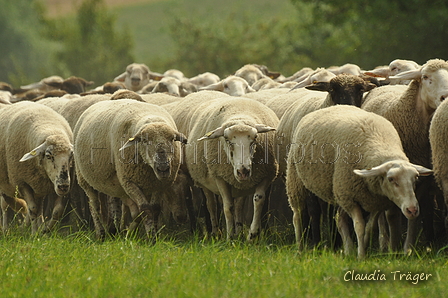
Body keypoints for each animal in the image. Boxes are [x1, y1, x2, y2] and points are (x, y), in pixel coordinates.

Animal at [0, 101, 73, 234]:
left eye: (71, 155)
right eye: (48, 156)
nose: (63, 186)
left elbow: (57, 210)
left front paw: (45, 230)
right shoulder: (22, 182)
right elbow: (32, 209)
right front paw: (34, 234)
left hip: (38, 186)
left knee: (39, 207)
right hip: (6, 184)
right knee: (5, 206)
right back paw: (5, 230)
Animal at [73, 99, 187, 239]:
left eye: (172, 139)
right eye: (144, 140)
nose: (163, 167)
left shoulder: (159, 185)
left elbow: (154, 209)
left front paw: (139, 234)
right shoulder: (128, 182)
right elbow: (144, 208)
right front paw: (151, 237)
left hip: (113, 183)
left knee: (115, 203)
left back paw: (115, 230)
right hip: (84, 179)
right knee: (94, 206)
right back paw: (101, 234)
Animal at [185, 96, 278, 241]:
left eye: (254, 139)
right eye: (227, 140)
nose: (243, 171)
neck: (240, 115)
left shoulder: (267, 175)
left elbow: (259, 200)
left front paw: (252, 235)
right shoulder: (220, 177)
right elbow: (228, 207)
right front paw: (230, 237)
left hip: (240, 187)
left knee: (239, 207)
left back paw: (239, 231)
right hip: (205, 184)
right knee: (211, 205)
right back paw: (216, 233)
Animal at [288, 105, 434, 258]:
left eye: (416, 178)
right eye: (391, 179)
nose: (412, 210)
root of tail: (328, 107)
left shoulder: (375, 201)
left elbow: (370, 226)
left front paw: (364, 247)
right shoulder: (350, 199)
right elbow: (359, 226)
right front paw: (361, 256)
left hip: (339, 192)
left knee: (339, 218)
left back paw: (348, 250)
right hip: (295, 179)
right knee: (297, 215)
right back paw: (299, 249)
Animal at [362, 58, 448, 251]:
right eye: (425, 77)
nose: (445, 96)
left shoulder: (422, 178)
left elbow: (416, 212)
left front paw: (408, 248)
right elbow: (391, 214)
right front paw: (392, 247)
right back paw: (383, 240)